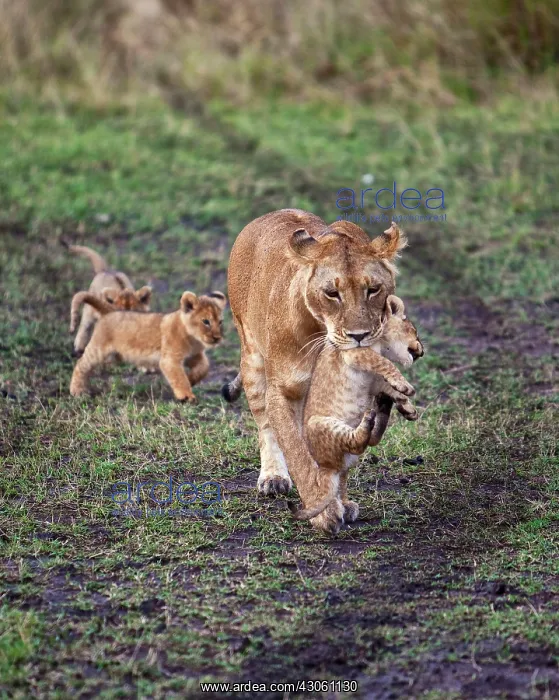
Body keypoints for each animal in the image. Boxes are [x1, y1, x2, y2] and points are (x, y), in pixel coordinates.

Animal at [69, 291, 227, 401]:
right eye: (206, 321)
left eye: (220, 322)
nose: (217, 338)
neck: (194, 339)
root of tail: (110, 311)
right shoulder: (170, 360)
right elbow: (179, 378)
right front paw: (186, 396)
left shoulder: (193, 355)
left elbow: (204, 367)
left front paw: (191, 379)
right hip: (98, 350)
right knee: (81, 364)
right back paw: (77, 391)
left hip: (113, 356)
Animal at [227, 209, 406, 507]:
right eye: (332, 294)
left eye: (373, 289)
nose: (359, 335)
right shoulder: (281, 390)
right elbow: (295, 450)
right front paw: (321, 505)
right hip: (251, 356)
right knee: (265, 425)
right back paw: (273, 477)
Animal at [289, 295, 424, 534]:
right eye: (415, 332)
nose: (422, 351)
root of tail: (327, 467)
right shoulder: (354, 353)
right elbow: (385, 364)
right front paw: (406, 387)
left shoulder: (374, 380)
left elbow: (388, 385)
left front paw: (408, 407)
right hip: (319, 423)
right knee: (358, 441)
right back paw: (370, 418)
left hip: (348, 462)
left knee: (365, 446)